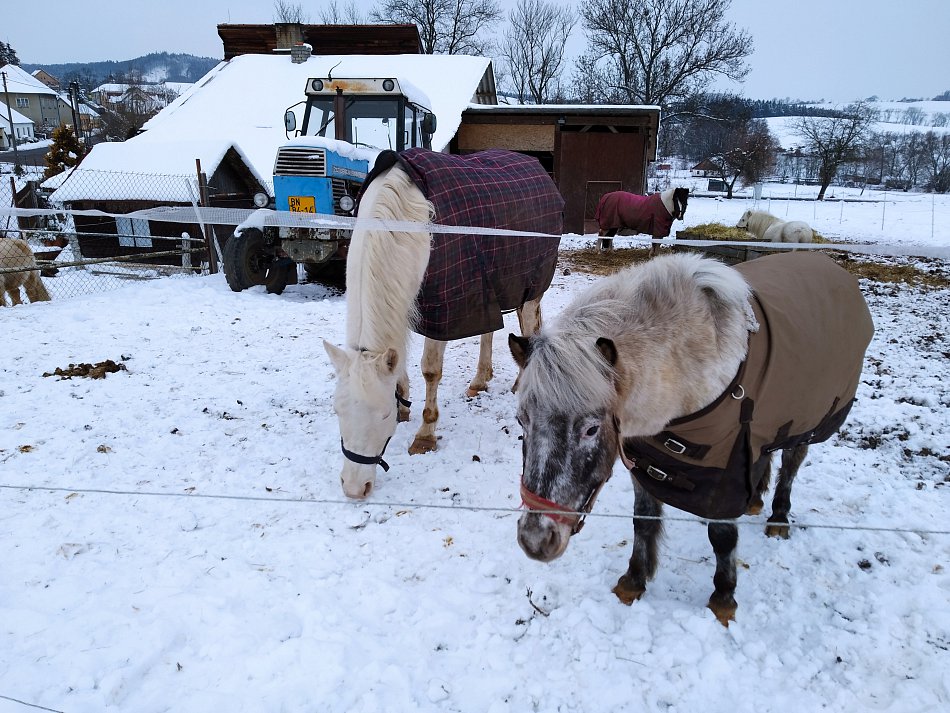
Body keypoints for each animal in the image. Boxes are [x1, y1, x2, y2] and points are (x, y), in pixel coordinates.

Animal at [323, 148, 563, 499]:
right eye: (338, 411)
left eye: (383, 414)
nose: (355, 488)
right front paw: (406, 406)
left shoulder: (441, 311)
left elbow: (431, 371)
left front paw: (424, 435)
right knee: (490, 330)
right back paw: (479, 381)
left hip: (529, 288)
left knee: (529, 328)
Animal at [509, 251, 873, 625]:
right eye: (521, 420)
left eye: (591, 429)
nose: (535, 540)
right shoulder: (647, 462)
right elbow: (643, 519)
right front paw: (633, 581)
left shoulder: (726, 467)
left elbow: (722, 536)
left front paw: (723, 598)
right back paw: (755, 499)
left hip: (805, 420)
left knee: (791, 462)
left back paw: (778, 518)